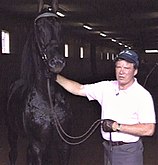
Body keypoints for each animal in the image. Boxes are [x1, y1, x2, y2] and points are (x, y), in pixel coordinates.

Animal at [6, 1, 72, 164]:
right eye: (39, 28)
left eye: (60, 27)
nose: (57, 62)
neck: (49, 100)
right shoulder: (37, 146)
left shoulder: (64, 146)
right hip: (12, 131)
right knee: (13, 153)